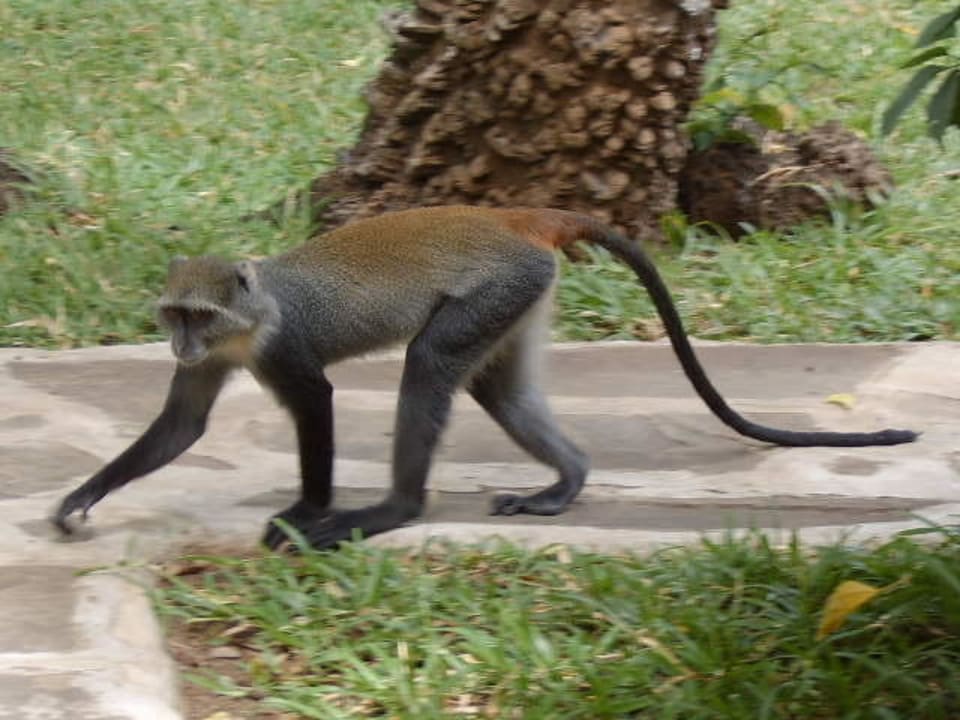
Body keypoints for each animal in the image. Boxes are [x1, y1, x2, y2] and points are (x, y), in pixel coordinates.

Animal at [51, 206, 918, 550]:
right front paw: (80, 500)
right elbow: (183, 426)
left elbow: (318, 404)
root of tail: (514, 217)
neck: (252, 313)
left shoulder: (282, 348)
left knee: (430, 365)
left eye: (197, 315)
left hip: (499, 285)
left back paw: (393, 510)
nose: (179, 345)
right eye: (174, 315)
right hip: (521, 294)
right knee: (491, 387)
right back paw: (567, 480)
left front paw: (305, 512)